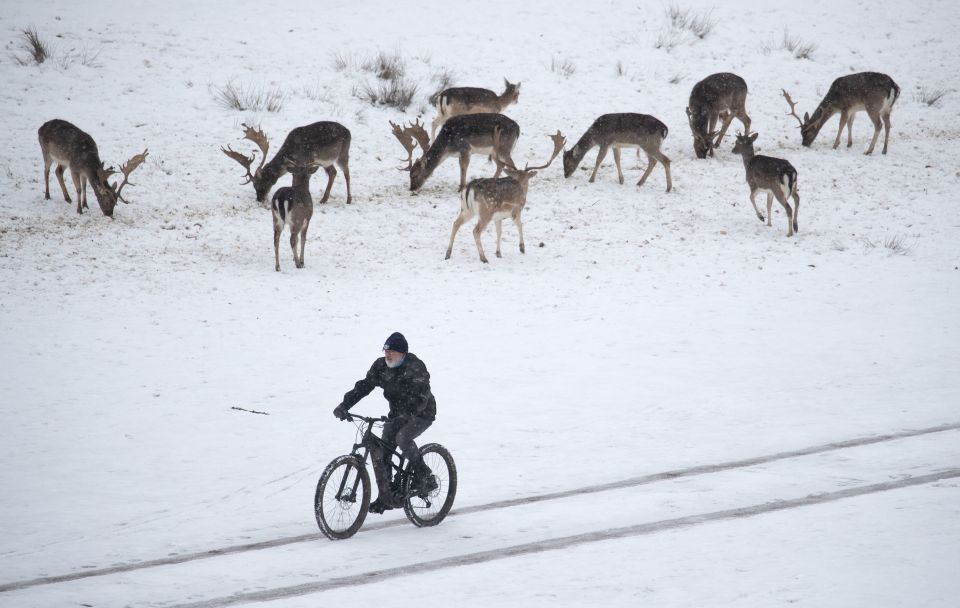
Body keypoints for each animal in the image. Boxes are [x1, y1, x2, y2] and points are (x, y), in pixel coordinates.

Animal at [219, 122, 350, 205]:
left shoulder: (305, 162)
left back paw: (349, 199)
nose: (259, 199)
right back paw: (324, 199)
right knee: (333, 172)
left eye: (259, 184)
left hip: (343, 154)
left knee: (347, 173)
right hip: (325, 162)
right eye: (254, 186)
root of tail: (349, 131)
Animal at [390, 113, 520, 191]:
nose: (412, 188)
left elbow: (463, 167)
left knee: (512, 165)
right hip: (494, 152)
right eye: (409, 174)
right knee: (501, 165)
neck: (448, 145)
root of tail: (518, 129)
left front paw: (461, 187)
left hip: (504, 147)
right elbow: (461, 167)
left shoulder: (465, 148)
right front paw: (461, 186)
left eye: (415, 174)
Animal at [446, 128, 568, 264]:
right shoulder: (516, 210)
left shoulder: (498, 217)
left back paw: (448, 253)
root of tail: (469, 188)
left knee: (455, 223)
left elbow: (499, 232)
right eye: (526, 179)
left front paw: (498, 253)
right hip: (485, 211)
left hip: (467, 210)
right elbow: (520, 225)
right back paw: (483, 258)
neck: (520, 184)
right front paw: (522, 248)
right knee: (475, 231)